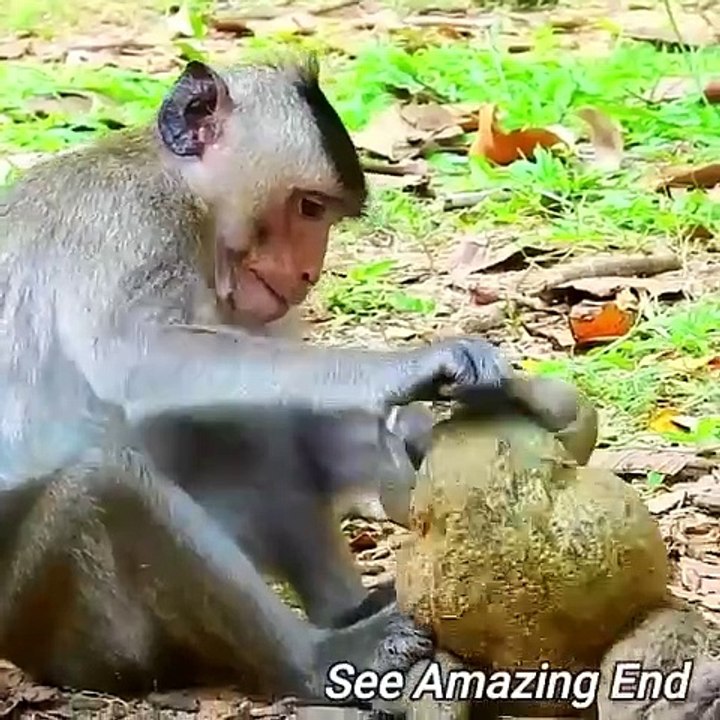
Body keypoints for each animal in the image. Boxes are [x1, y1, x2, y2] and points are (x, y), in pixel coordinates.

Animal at [0, 56, 541, 702]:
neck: (189, 205)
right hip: (61, 619)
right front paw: (415, 368)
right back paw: (317, 658)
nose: (309, 272)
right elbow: (134, 356)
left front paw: (411, 432)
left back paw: (346, 610)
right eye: (308, 207)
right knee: (109, 484)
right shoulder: (128, 226)